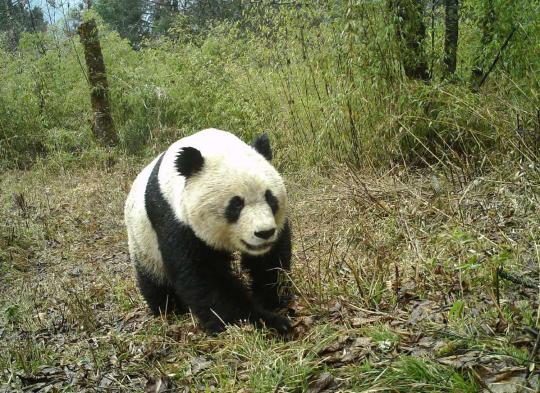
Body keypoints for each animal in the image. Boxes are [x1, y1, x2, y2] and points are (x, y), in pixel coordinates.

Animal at [124, 128, 294, 334]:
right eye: (236, 205)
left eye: (270, 199)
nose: (264, 233)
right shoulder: (173, 217)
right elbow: (204, 275)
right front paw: (265, 322)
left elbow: (270, 260)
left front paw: (271, 299)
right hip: (141, 241)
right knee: (154, 280)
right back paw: (170, 309)